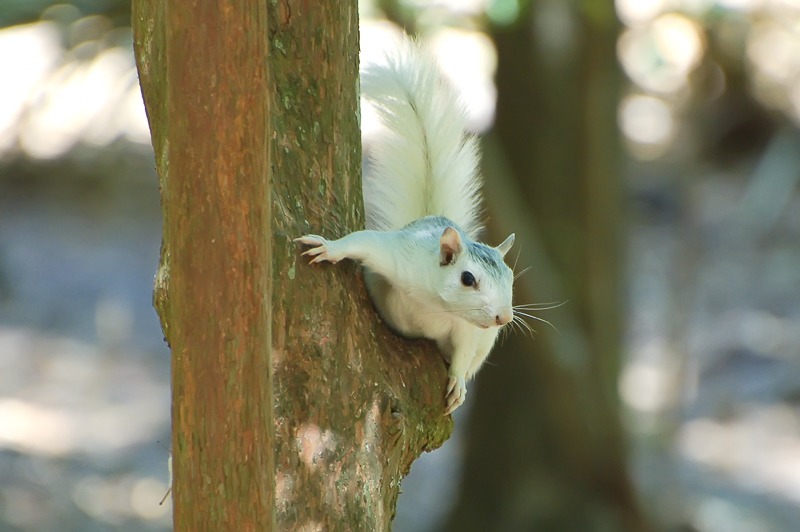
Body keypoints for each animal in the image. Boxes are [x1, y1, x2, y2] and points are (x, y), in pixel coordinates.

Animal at [295, 32, 515, 415]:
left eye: (511, 277)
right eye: (467, 279)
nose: (504, 317)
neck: (436, 305)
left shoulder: (467, 330)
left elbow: (462, 353)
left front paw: (457, 383)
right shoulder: (401, 256)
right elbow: (365, 241)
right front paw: (329, 248)